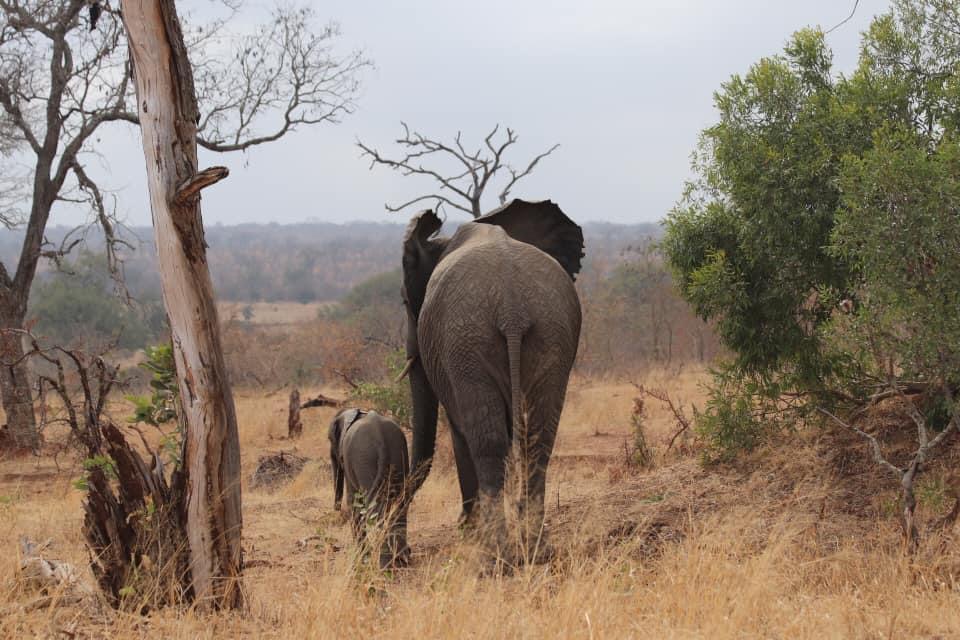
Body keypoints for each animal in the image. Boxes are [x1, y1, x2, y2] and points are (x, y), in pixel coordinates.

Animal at [328, 408, 411, 568]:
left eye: (330, 439)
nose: (336, 509)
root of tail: (380, 435)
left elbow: (353, 503)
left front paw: (361, 561)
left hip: (364, 460)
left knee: (376, 509)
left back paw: (384, 565)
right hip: (399, 454)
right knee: (400, 503)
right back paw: (402, 558)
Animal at [400, 199, 584, 561]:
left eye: (403, 301)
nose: (409, 550)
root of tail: (512, 309)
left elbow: (459, 431)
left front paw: (467, 531)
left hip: (467, 344)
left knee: (486, 443)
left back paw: (494, 555)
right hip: (551, 335)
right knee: (537, 440)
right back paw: (535, 550)